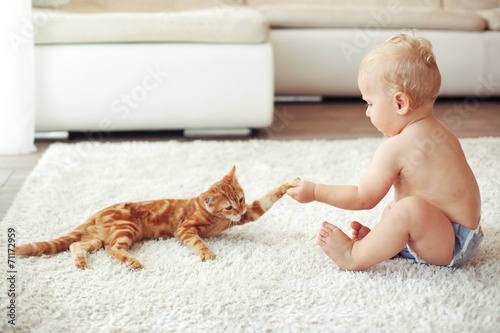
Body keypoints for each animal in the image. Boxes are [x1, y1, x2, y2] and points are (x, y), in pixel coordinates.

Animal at [15, 165, 294, 268]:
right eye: (228, 207)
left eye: (241, 199)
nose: (239, 211)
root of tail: (98, 213)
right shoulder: (185, 229)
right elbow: (197, 241)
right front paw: (206, 253)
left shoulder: (251, 213)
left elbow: (267, 199)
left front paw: (287, 186)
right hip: (125, 229)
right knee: (112, 250)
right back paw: (132, 261)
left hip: (97, 238)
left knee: (77, 245)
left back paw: (81, 261)